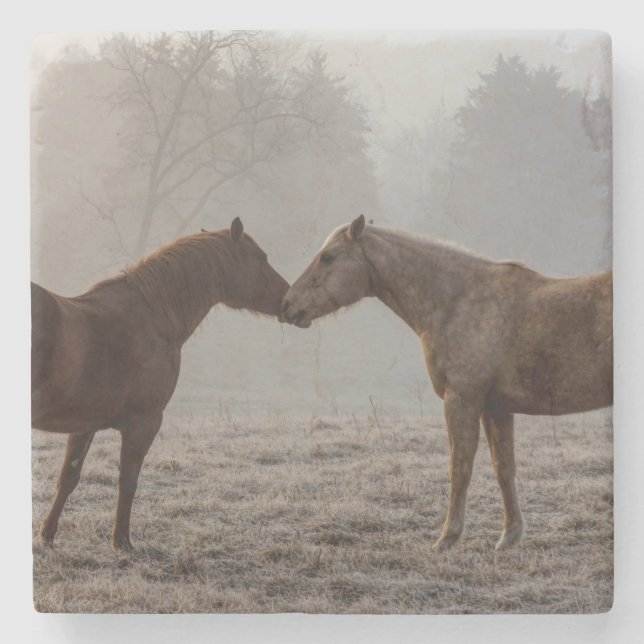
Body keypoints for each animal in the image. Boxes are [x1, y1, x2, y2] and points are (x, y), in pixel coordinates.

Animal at [32, 218, 289, 550]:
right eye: (261, 258)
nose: (289, 299)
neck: (153, 316)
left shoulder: (84, 424)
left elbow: (68, 478)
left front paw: (46, 535)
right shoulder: (145, 423)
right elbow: (128, 482)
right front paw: (122, 542)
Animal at [281, 215, 612, 550]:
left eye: (327, 257)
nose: (287, 305)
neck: (459, 301)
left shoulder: (461, 401)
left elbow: (459, 468)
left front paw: (447, 538)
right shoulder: (495, 409)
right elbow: (503, 468)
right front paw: (509, 535)